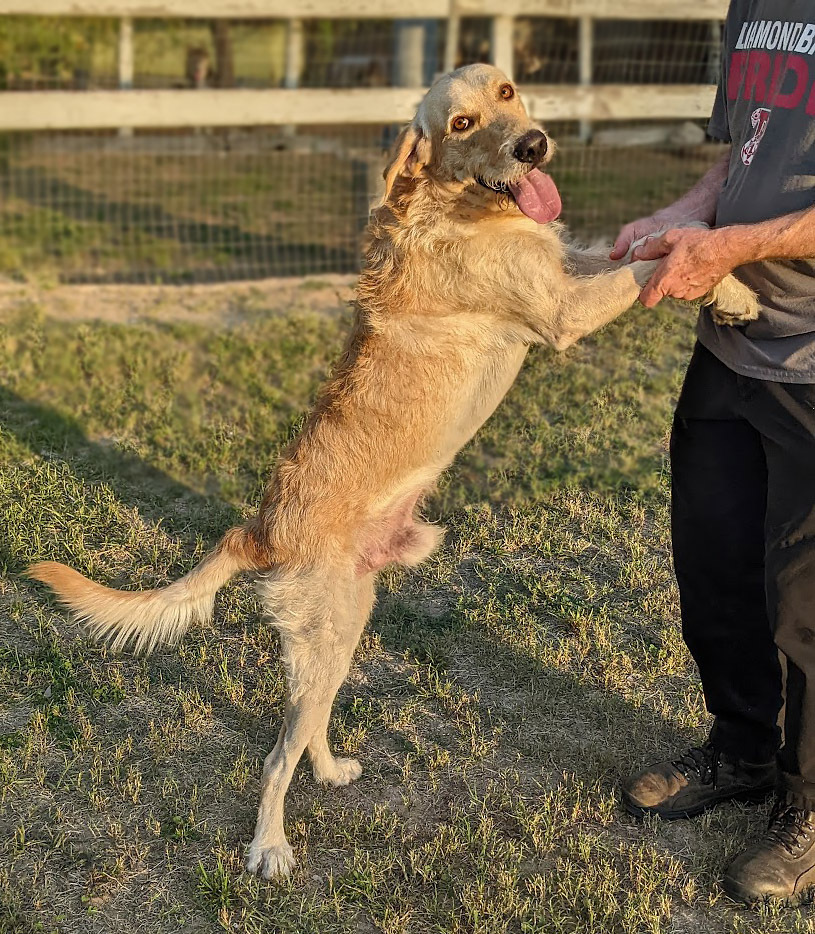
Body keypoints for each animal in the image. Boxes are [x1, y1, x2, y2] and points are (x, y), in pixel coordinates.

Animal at [30, 62, 760, 880]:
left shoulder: (568, 265)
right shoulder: (562, 311)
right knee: (274, 757)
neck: (463, 206)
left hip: (344, 627)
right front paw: (718, 276)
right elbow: (647, 263)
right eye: (460, 124)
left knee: (309, 725)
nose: (534, 146)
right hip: (325, 637)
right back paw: (269, 847)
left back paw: (330, 770)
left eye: (507, 93)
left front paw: (730, 286)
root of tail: (257, 530)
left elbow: (650, 245)